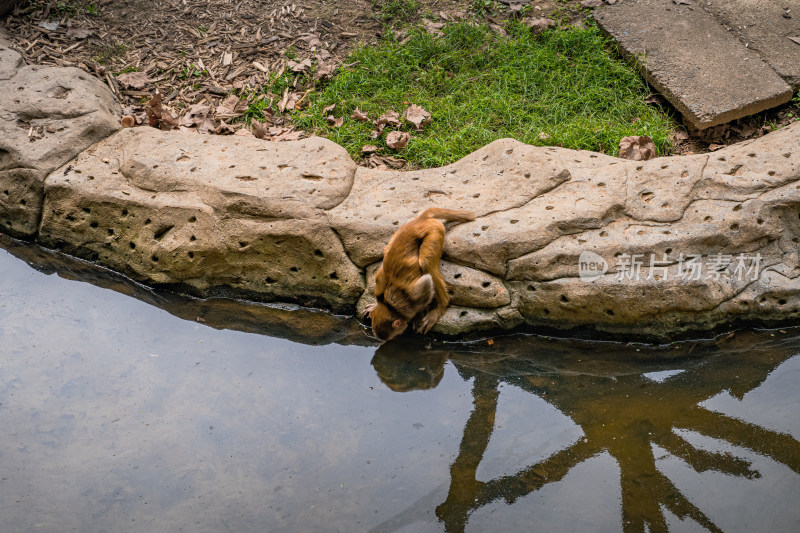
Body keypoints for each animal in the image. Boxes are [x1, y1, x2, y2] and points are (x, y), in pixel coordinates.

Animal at [368, 208, 476, 340]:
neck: (389, 305)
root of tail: (419, 221)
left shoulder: (413, 298)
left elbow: (427, 283)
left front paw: (419, 315)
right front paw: (374, 305)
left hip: (435, 230)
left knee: (426, 263)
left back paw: (441, 305)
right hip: (399, 233)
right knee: (387, 251)